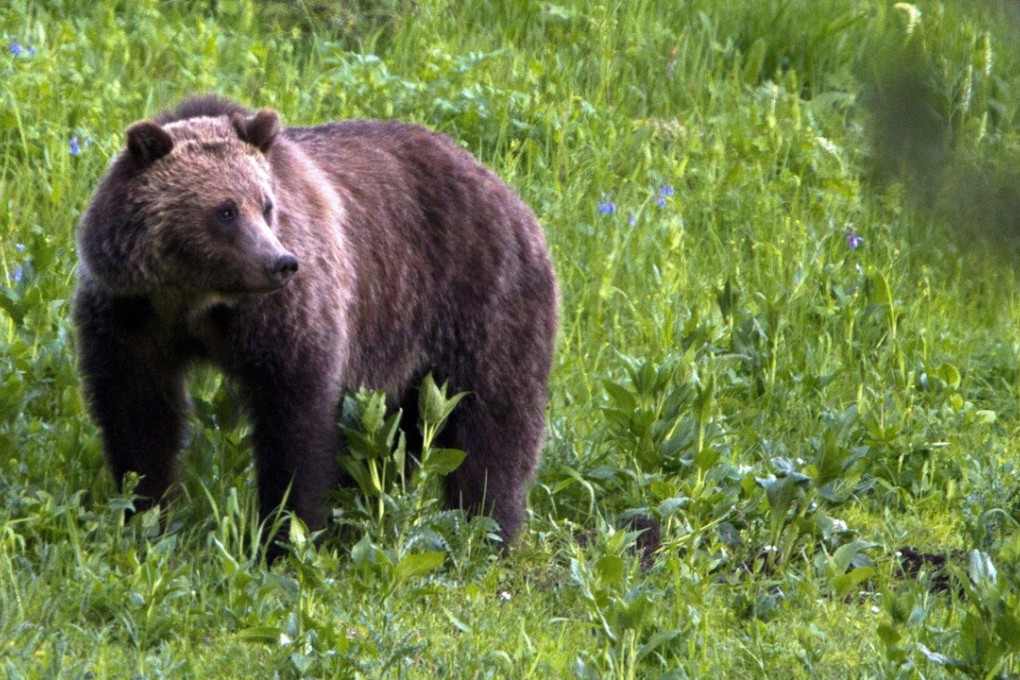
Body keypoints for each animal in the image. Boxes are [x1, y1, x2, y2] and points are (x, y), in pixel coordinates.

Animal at [73, 95, 558, 554]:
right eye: (225, 211)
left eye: (266, 205)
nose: (280, 262)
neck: (197, 299)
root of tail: (507, 190)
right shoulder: (132, 315)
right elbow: (139, 413)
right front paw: (144, 513)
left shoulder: (284, 317)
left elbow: (296, 419)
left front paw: (285, 534)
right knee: (397, 435)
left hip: (479, 299)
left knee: (493, 422)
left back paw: (487, 529)